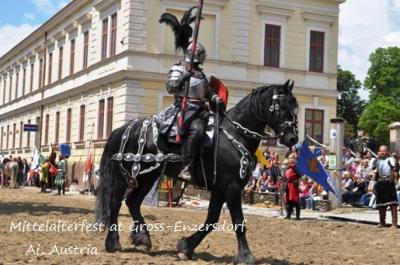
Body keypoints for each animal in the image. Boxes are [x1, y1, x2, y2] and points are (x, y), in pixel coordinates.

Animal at [95, 79, 298, 262]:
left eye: (295, 106)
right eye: (281, 105)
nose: (292, 138)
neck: (236, 133)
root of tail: (121, 130)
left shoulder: (220, 189)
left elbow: (211, 220)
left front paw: (186, 247)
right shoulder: (232, 187)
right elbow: (238, 221)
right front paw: (246, 256)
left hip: (148, 177)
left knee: (133, 202)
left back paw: (143, 238)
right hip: (123, 178)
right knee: (115, 203)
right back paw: (113, 242)